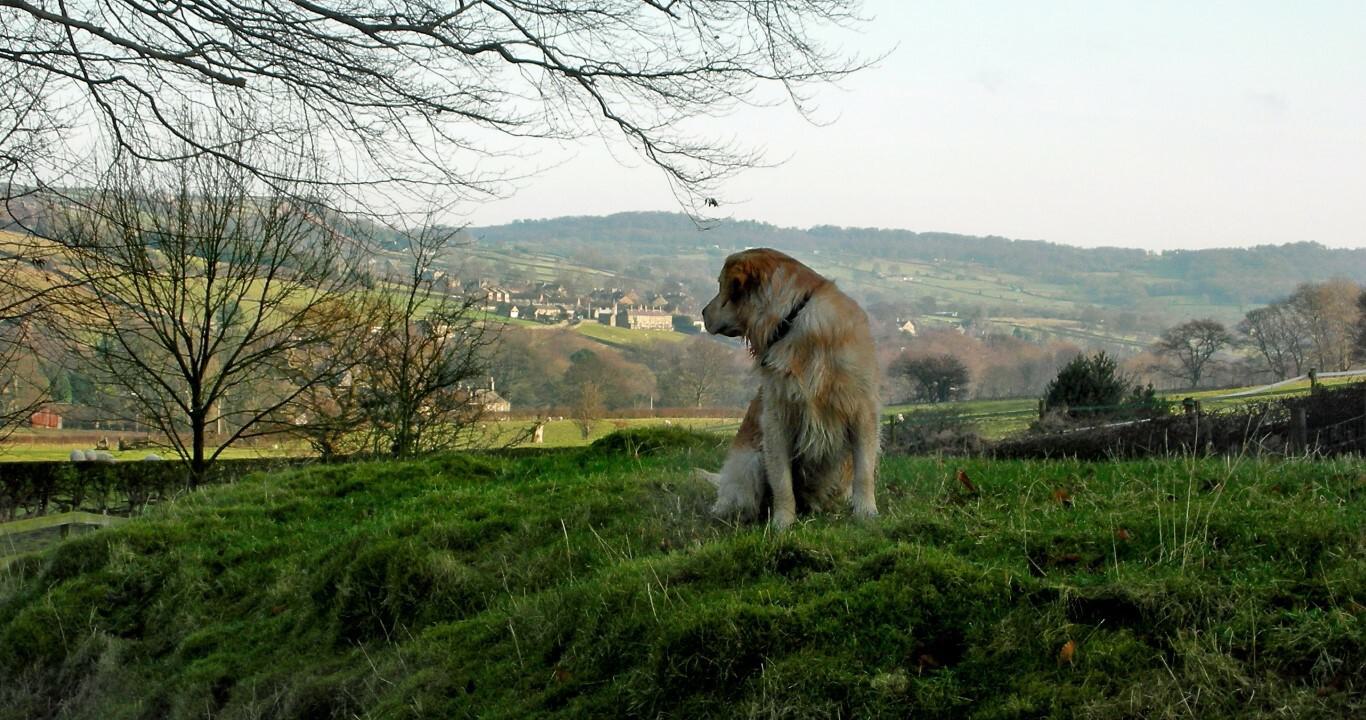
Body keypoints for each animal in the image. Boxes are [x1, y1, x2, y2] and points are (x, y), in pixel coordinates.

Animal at [699, 248, 879, 530]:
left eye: (721, 286)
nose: (703, 312)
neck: (792, 320)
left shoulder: (862, 410)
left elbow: (864, 472)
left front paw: (866, 512)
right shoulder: (776, 419)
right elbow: (782, 481)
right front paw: (782, 523)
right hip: (750, 462)